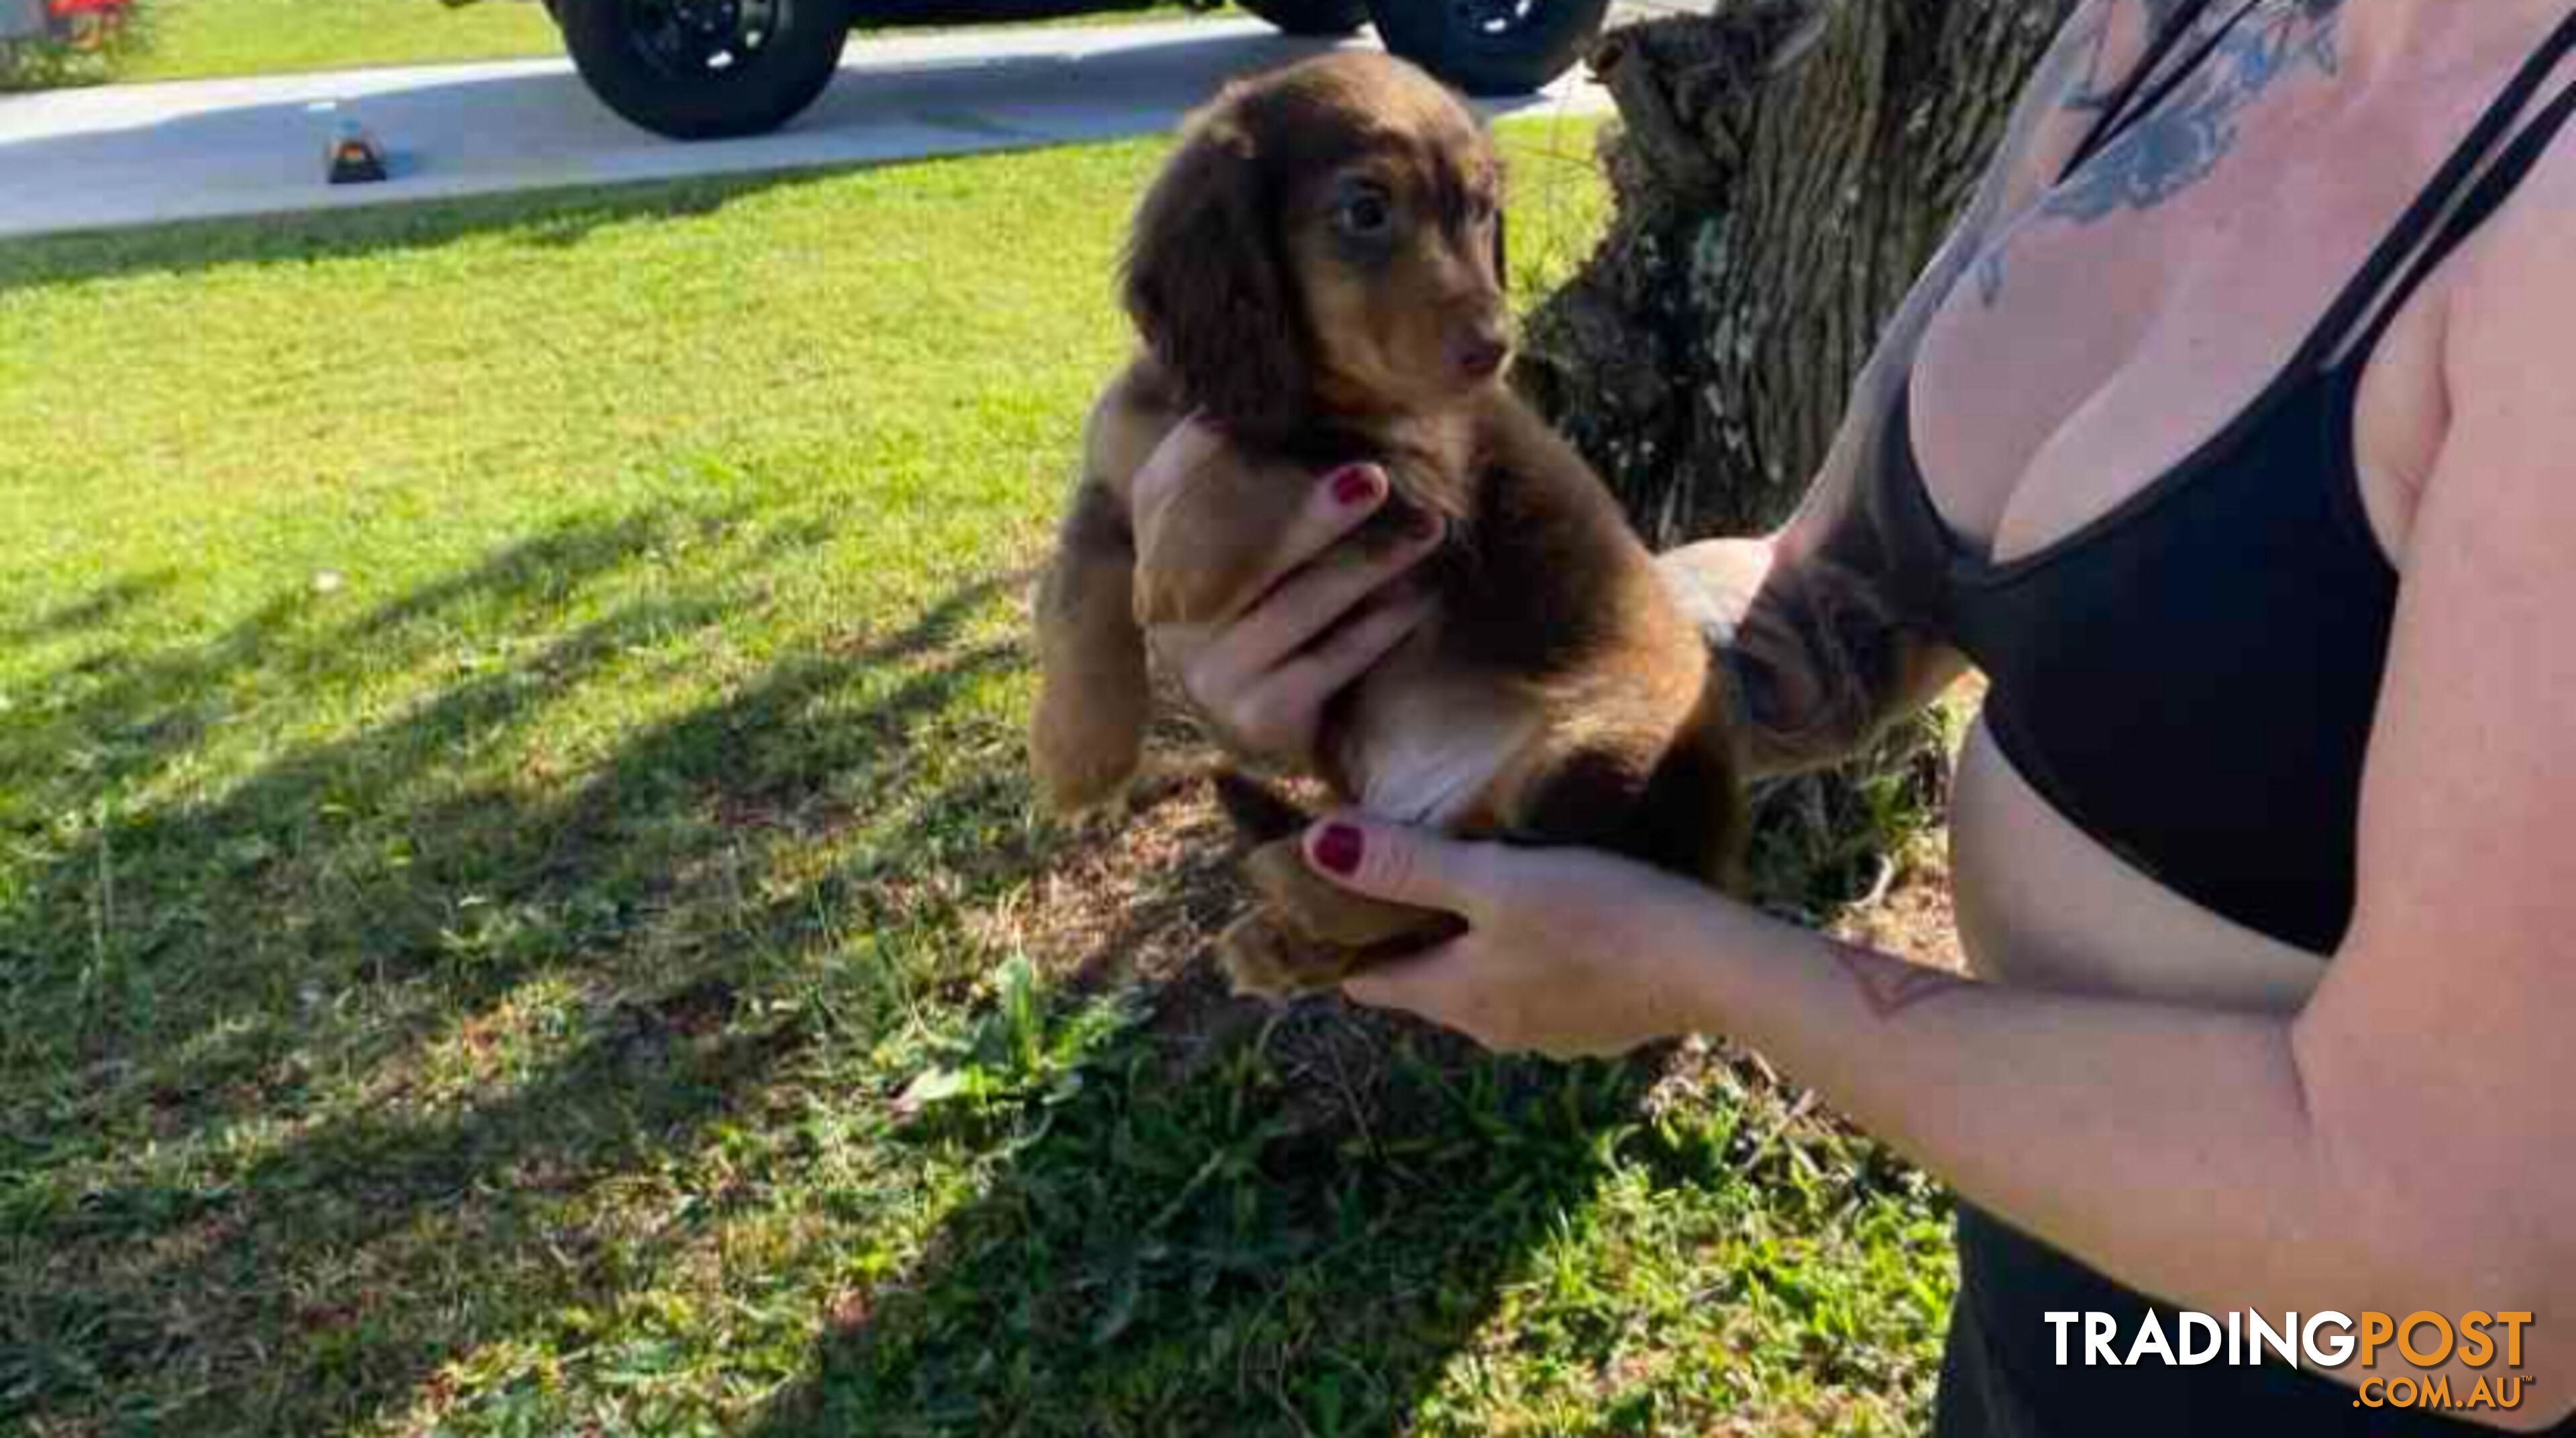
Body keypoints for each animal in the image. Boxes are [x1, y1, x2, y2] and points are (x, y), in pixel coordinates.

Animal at [1025, 53, 1752, 1005]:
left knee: (1479, 877)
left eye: (1481, 210)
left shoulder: (1416, 491)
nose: (1495, 350)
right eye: (1367, 210)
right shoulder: (1114, 473)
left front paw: (1181, 565)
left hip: (1600, 747)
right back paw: (1288, 938)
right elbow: (1075, 598)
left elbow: (1280, 460)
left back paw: (1303, 885)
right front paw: (1079, 754)